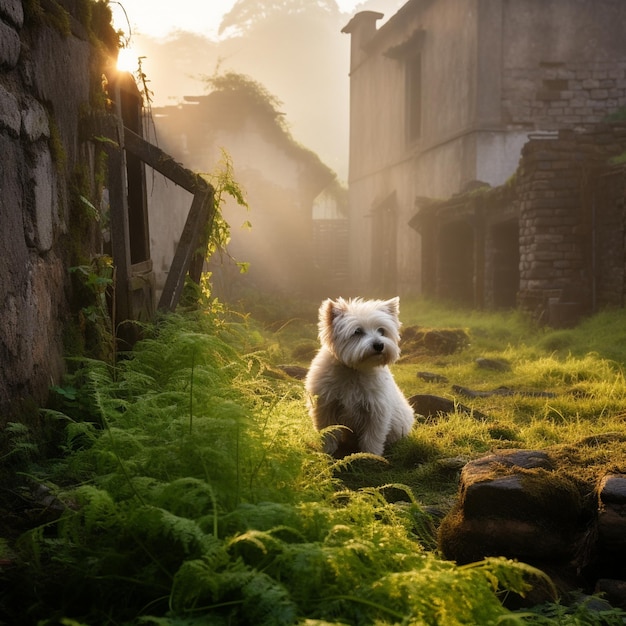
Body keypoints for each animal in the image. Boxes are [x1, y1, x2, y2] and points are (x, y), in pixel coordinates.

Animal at [304, 294, 414, 456]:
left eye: (382, 331)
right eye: (357, 332)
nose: (379, 345)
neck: (354, 370)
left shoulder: (375, 411)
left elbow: (372, 437)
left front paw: (370, 456)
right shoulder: (326, 406)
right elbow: (328, 432)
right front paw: (327, 452)